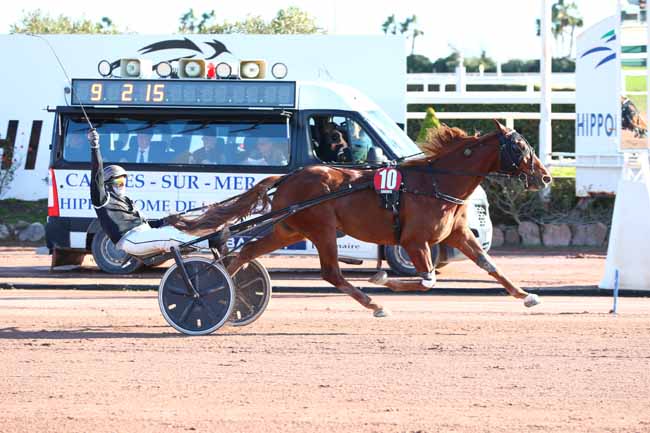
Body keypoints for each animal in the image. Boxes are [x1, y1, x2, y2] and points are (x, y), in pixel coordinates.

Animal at [170, 120, 548, 316]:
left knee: (244, 253)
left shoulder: (457, 235)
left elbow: (489, 265)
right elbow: (427, 279)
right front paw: (383, 280)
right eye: (520, 148)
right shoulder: (414, 240)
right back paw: (374, 303)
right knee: (331, 273)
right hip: (321, 228)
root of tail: (289, 177)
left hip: (290, 229)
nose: (545, 177)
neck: (437, 182)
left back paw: (227, 294)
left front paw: (526, 295)